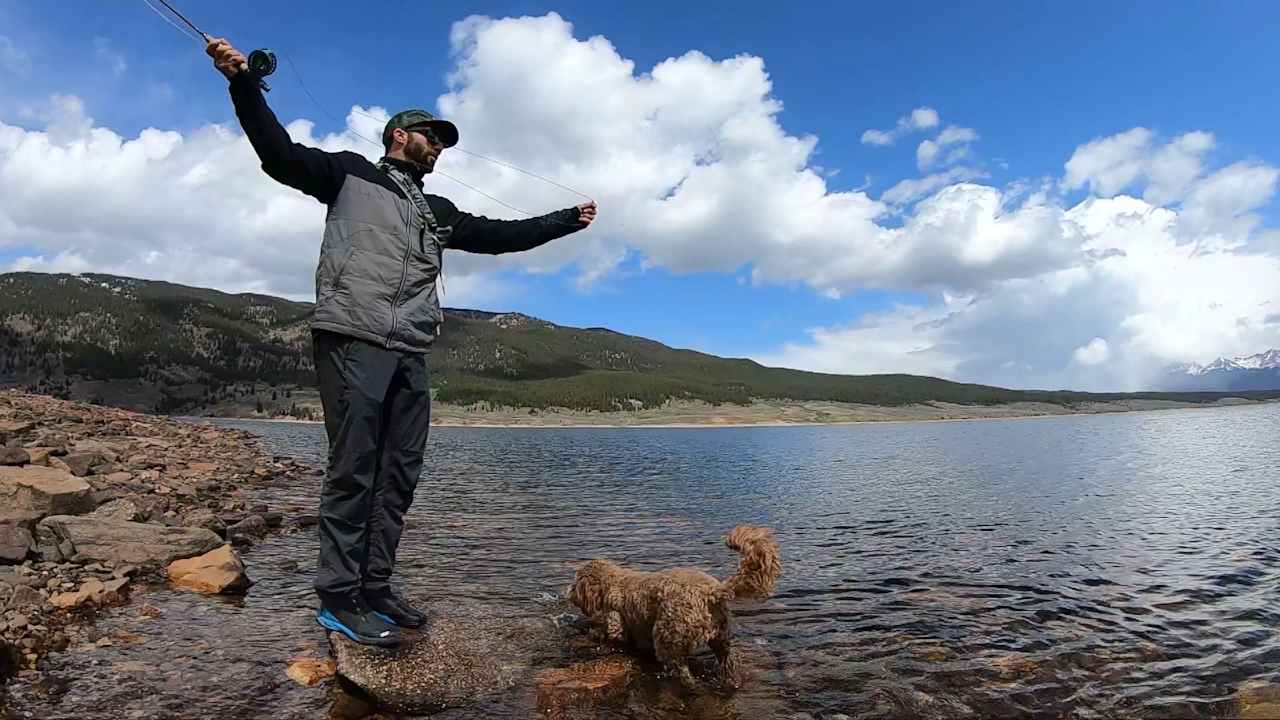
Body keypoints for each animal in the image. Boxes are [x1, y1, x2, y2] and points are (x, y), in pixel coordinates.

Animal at [568, 525, 778, 686]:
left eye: (576, 582)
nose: (568, 592)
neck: (614, 582)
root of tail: (713, 591)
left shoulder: (615, 619)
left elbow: (609, 634)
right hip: (720, 637)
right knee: (728, 660)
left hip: (669, 637)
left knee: (681, 669)